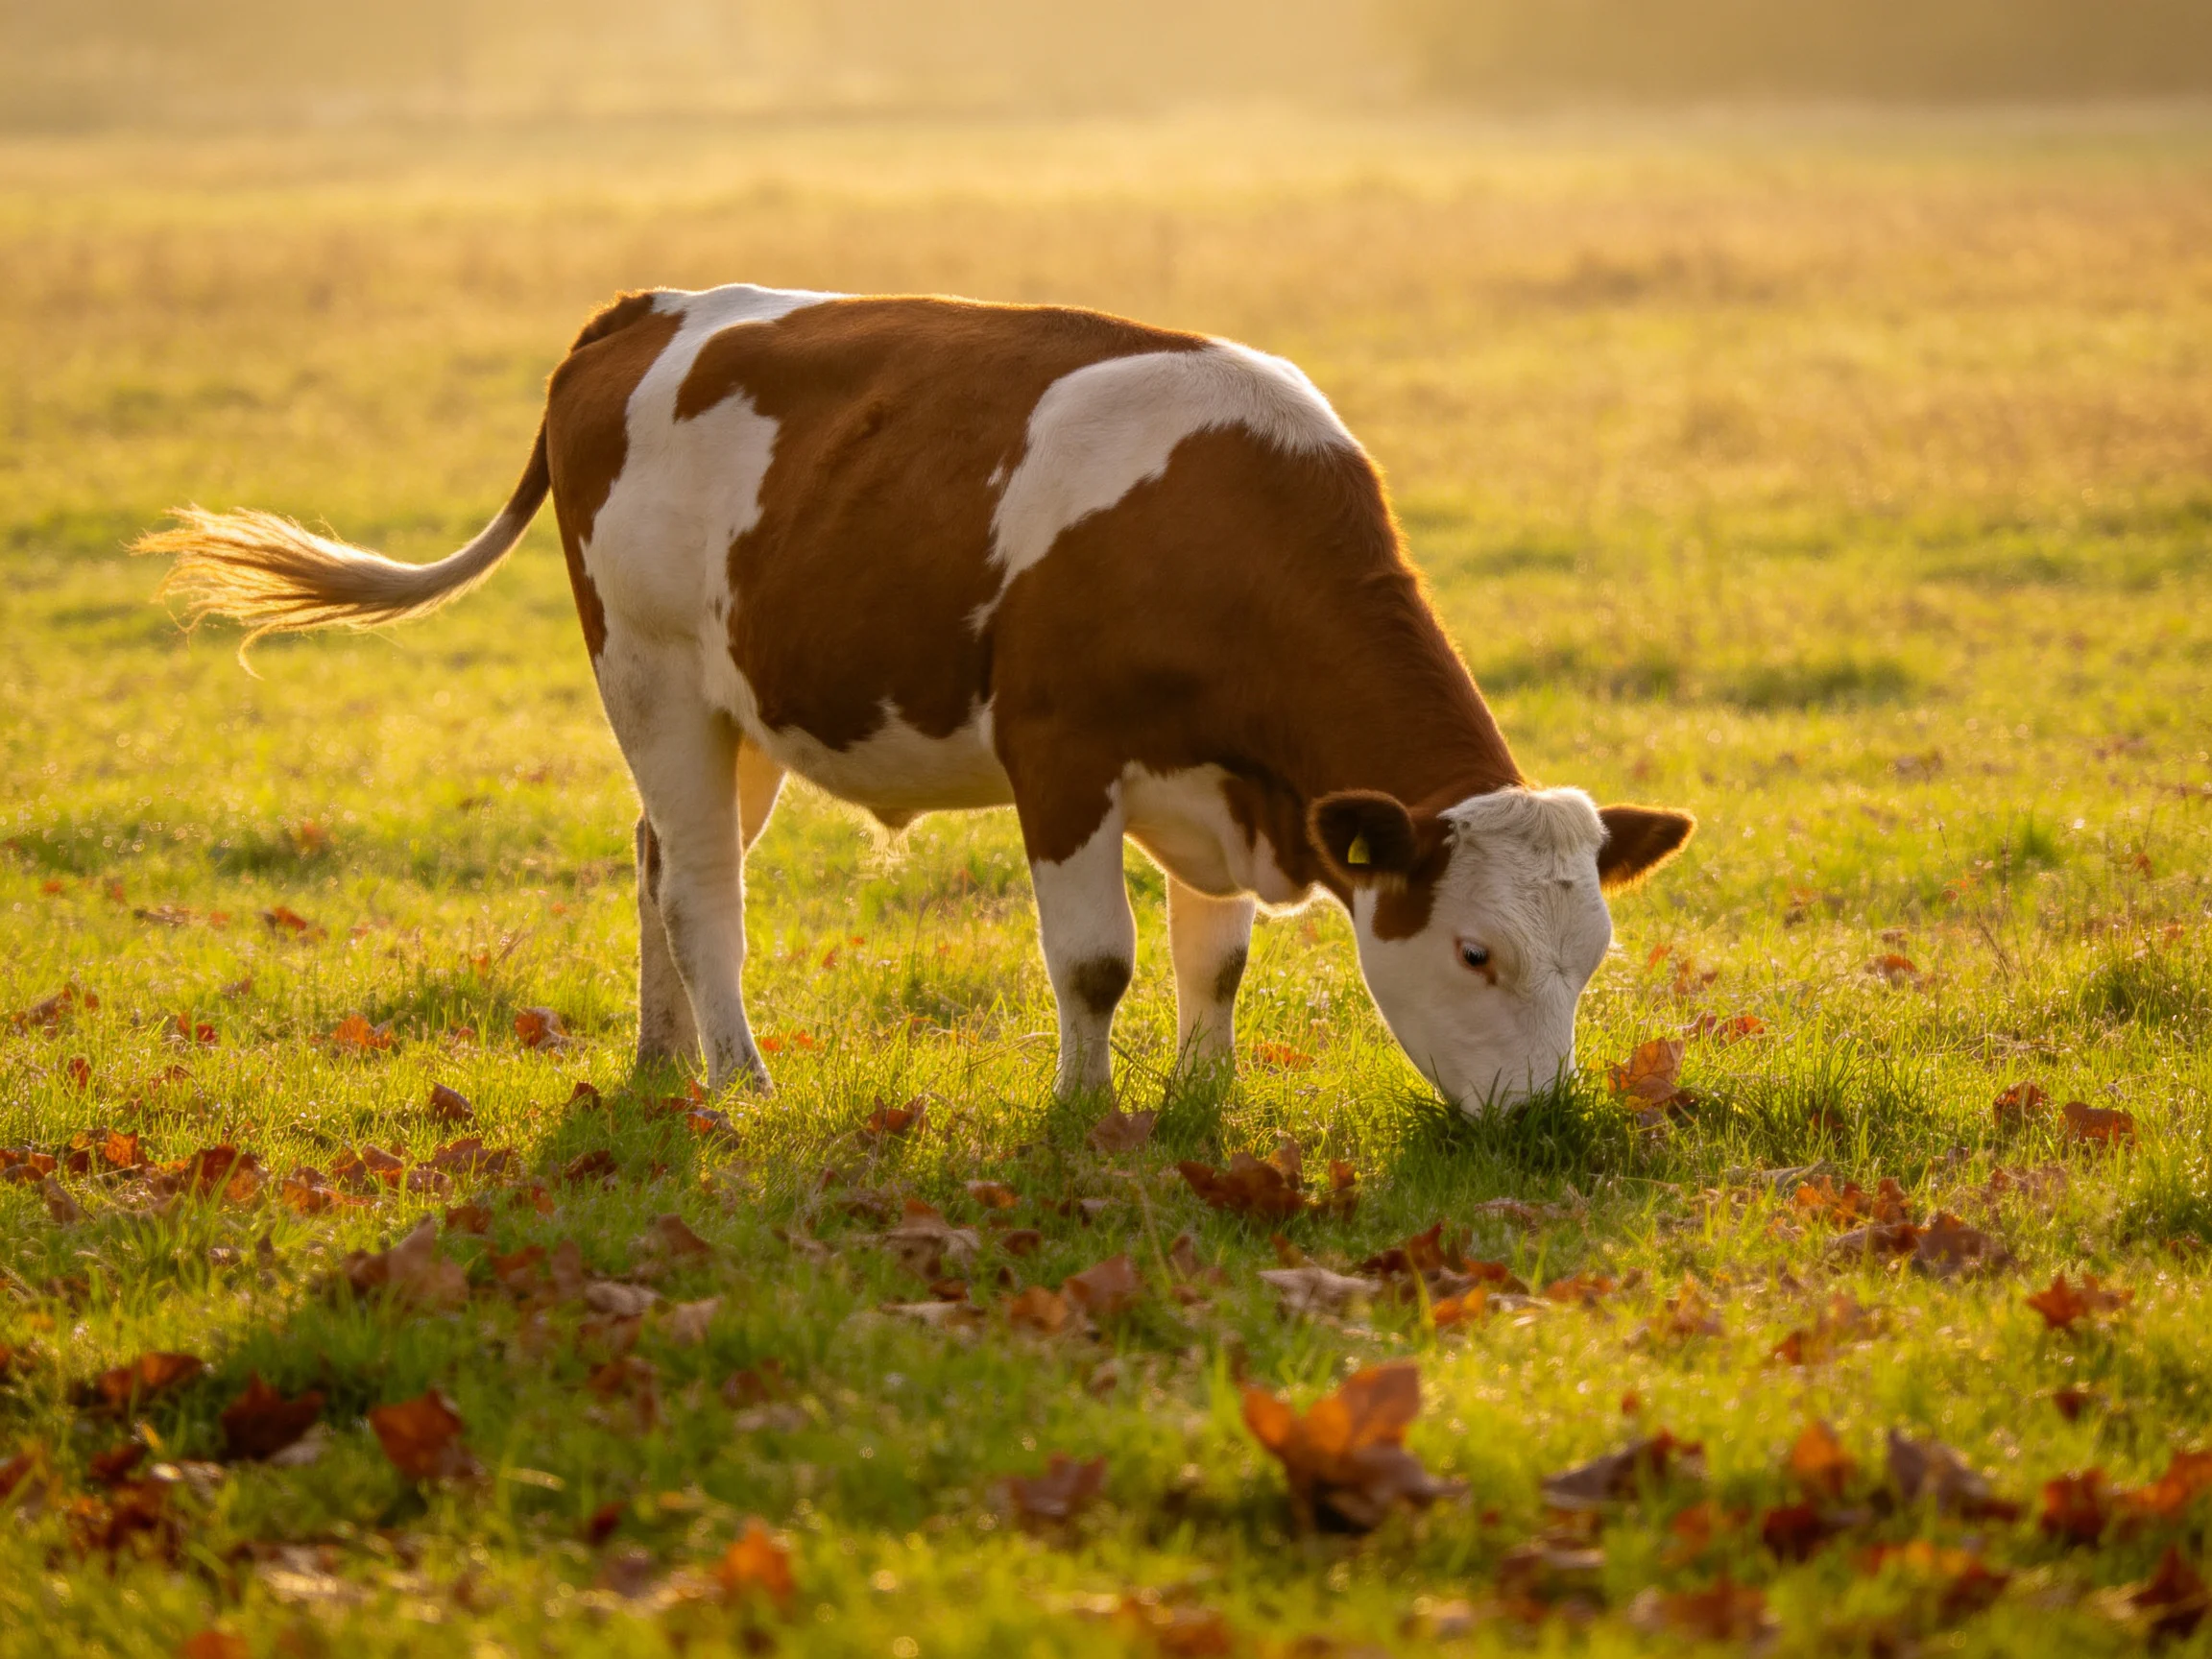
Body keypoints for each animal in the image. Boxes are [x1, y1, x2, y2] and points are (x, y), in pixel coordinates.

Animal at [137, 285, 1693, 1112]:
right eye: (1477, 953)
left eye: (1593, 957)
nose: (1541, 1124)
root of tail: (649, 310)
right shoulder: (1061, 755)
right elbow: (1098, 962)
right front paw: (1087, 1112)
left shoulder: (1232, 788)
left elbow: (1214, 961)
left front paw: (1204, 1097)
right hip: (646, 672)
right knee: (700, 887)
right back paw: (741, 1078)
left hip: (741, 704)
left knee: (654, 859)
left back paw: (662, 1058)